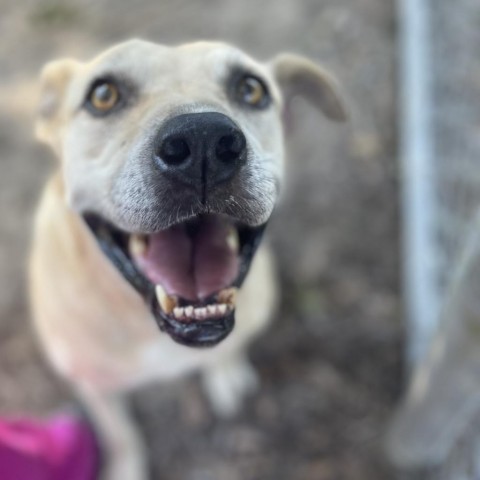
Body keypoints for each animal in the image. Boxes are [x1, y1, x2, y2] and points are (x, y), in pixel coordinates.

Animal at [29, 40, 344, 480]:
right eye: (102, 94)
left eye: (251, 89)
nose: (203, 141)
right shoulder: (93, 385)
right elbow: (121, 435)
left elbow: (228, 351)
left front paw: (226, 376)